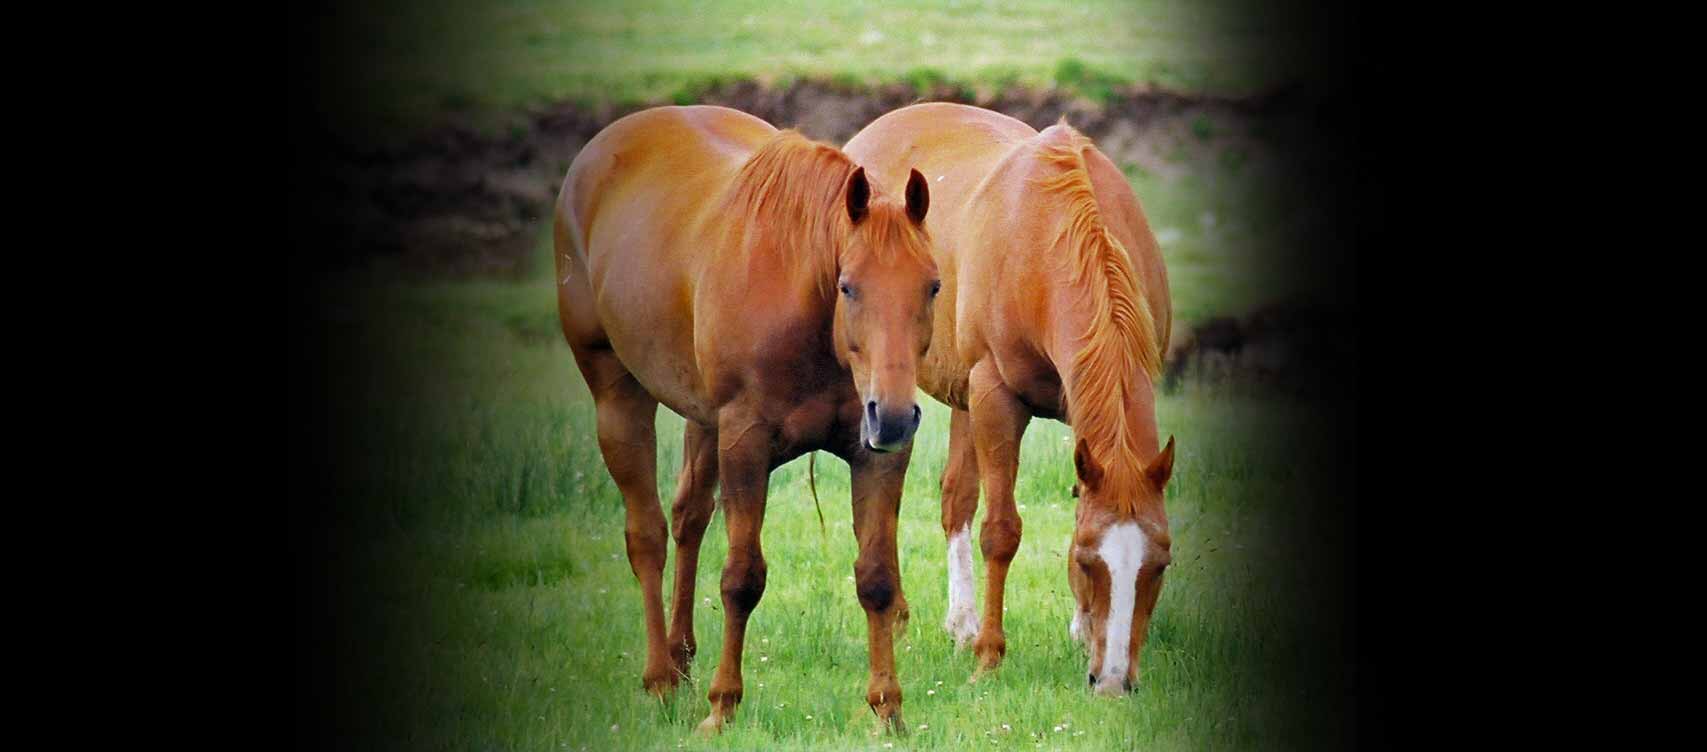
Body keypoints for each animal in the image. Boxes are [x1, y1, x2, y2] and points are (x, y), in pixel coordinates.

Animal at [556, 107, 935, 733]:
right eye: (848, 286)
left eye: (932, 285)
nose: (898, 417)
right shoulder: (745, 444)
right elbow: (741, 579)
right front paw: (722, 705)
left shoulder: (875, 455)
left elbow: (877, 578)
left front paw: (888, 709)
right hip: (618, 396)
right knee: (648, 535)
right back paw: (661, 678)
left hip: (703, 422)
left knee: (688, 518)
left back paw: (681, 658)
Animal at [843, 102, 1174, 695]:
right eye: (1088, 562)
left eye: (1159, 565)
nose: (1114, 681)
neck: (1050, 237)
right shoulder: (996, 396)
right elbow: (1001, 531)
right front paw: (990, 656)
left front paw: (1079, 628)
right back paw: (910, 616)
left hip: (961, 398)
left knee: (954, 498)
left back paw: (961, 621)